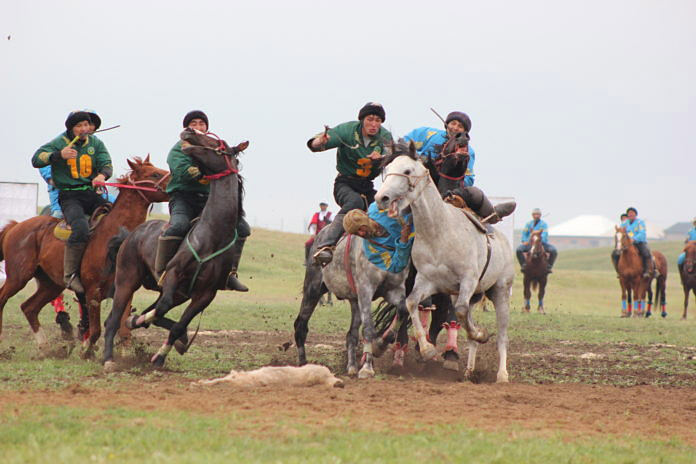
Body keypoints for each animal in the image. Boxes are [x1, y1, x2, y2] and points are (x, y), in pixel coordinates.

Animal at [0, 158, 169, 354]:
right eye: (155, 174)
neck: (113, 237)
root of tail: (16, 226)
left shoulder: (125, 290)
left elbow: (124, 330)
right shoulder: (92, 292)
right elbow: (96, 329)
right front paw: (87, 349)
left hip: (51, 284)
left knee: (29, 308)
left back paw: (45, 347)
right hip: (18, 277)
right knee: (3, 299)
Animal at [101, 129, 247, 368]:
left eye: (216, 143)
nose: (189, 132)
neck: (212, 235)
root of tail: (130, 235)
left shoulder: (205, 294)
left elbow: (177, 323)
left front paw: (160, 356)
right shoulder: (173, 274)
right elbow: (161, 308)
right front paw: (137, 321)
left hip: (178, 293)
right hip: (126, 281)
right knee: (113, 320)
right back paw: (108, 358)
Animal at [376, 144, 516, 380]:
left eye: (407, 170)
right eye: (386, 169)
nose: (381, 197)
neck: (439, 233)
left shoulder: (467, 280)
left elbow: (459, 311)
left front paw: (481, 333)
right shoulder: (428, 282)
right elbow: (411, 303)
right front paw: (427, 349)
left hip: (500, 291)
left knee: (502, 335)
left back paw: (502, 374)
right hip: (474, 294)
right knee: (469, 327)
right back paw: (469, 370)